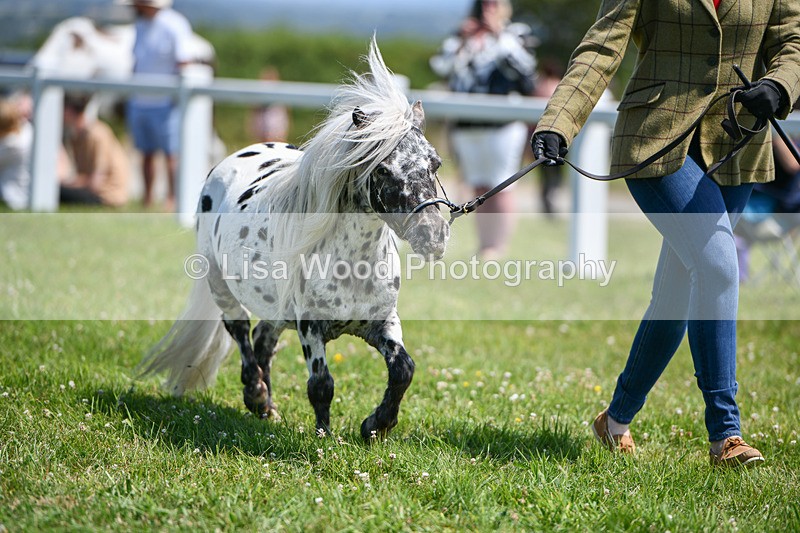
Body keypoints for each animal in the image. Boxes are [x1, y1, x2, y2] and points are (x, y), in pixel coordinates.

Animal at [138, 40, 450, 441]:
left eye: (435, 163)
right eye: (381, 168)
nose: (433, 235)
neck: (352, 265)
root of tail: (232, 159)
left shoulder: (381, 322)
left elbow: (403, 370)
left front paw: (375, 427)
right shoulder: (309, 327)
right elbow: (321, 385)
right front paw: (325, 438)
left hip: (276, 308)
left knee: (263, 338)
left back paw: (265, 405)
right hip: (220, 285)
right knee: (241, 333)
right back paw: (257, 397)